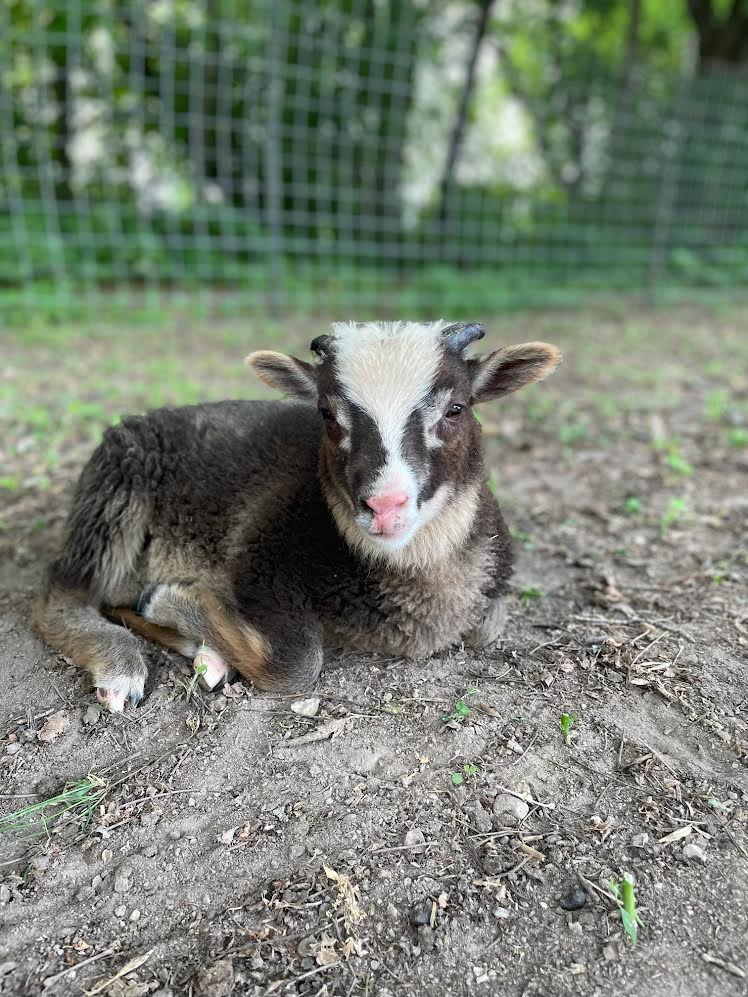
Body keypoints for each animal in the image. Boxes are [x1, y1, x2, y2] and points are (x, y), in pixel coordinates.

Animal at [32, 320, 561, 711]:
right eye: (327, 414)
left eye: (456, 408)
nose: (384, 505)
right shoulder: (258, 555)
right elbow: (296, 664)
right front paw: (167, 601)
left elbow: (489, 626)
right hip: (115, 491)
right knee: (60, 598)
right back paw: (124, 664)